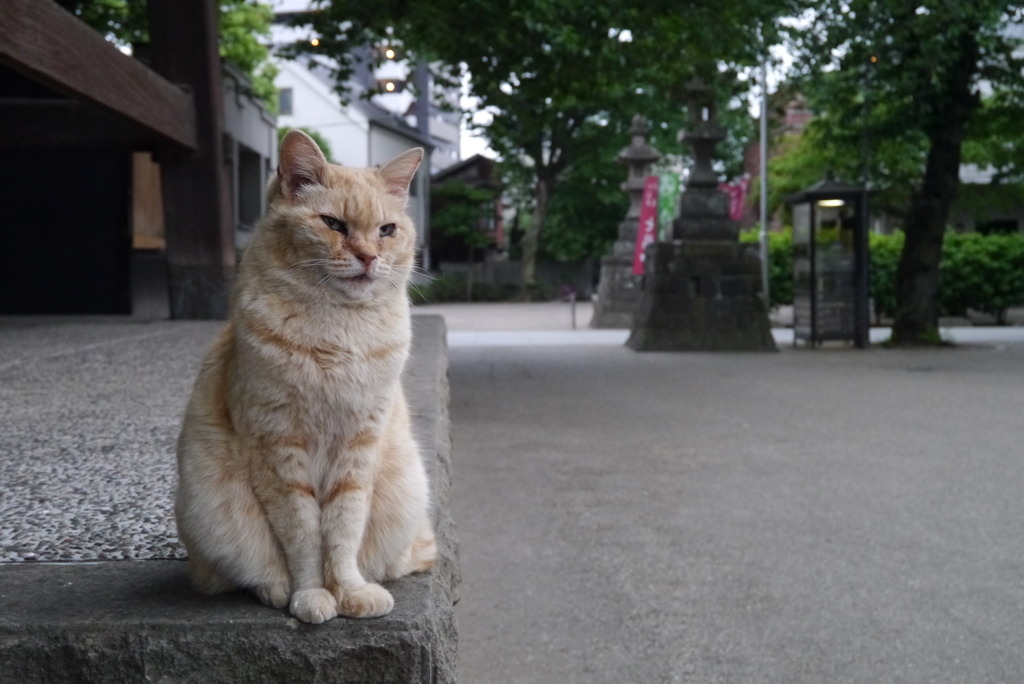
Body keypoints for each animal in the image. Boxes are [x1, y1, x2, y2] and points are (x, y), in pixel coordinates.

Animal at [175, 129, 436, 626]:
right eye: (333, 224)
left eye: (386, 230)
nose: (368, 256)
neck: (339, 331)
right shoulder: (279, 450)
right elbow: (302, 535)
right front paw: (312, 594)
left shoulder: (358, 448)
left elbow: (343, 528)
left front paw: (349, 591)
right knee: (235, 575)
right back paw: (275, 588)